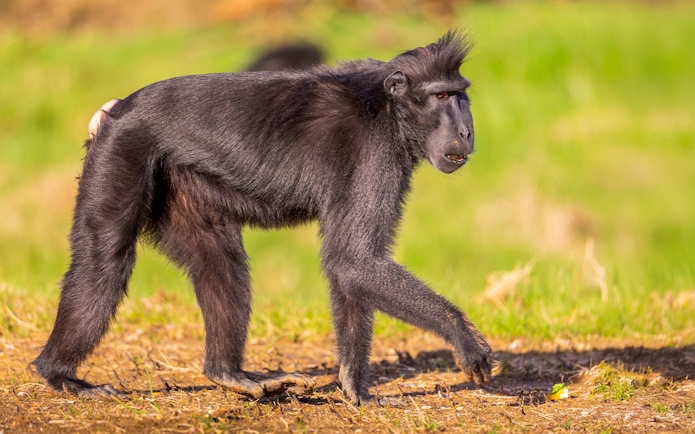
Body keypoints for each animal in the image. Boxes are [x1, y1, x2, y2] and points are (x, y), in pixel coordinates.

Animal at [33, 31, 492, 405]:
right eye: (441, 97)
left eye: (460, 94)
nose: (467, 132)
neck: (388, 107)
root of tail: (119, 108)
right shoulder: (374, 151)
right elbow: (353, 261)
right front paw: (462, 336)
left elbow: (348, 269)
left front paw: (355, 388)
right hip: (123, 151)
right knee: (105, 258)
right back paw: (60, 375)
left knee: (218, 257)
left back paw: (229, 374)